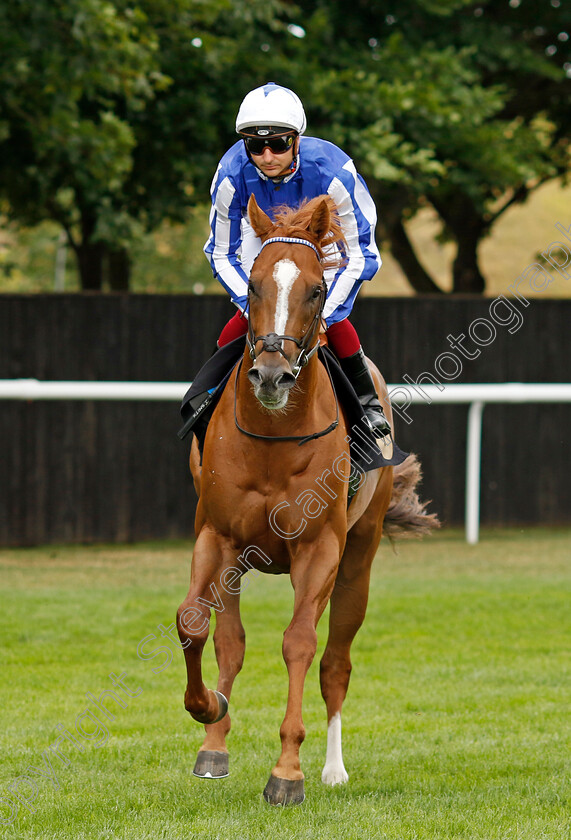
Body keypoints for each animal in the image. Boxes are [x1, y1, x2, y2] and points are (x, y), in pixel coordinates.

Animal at [177, 194, 436, 804]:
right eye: (252, 284)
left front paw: (288, 771)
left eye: (317, 289)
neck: (274, 437)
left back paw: (333, 768)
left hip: (358, 558)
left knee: (336, 661)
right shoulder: (216, 535)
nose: (271, 375)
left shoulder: (320, 548)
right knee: (231, 641)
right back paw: (215, 744)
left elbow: (299, 643)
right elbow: (196, 624)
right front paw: (207, 711)